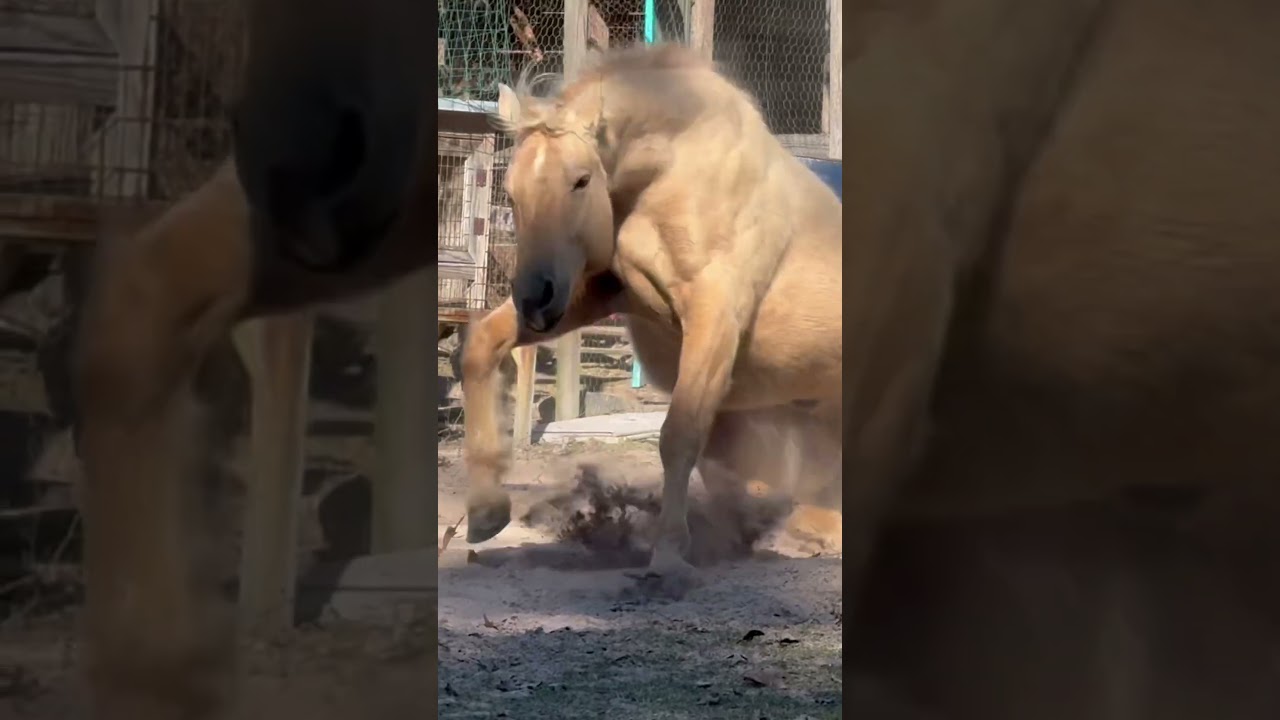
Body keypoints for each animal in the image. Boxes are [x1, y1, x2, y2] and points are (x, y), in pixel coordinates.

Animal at [459, 44, 844, 598]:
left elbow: (678, 435)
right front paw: (486, 511)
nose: (533, 297)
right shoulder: (595, 294)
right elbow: (479, 346)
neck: (673, 176)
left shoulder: (714, 318)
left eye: (580, 180)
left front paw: (669, 557)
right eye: (510, 191)